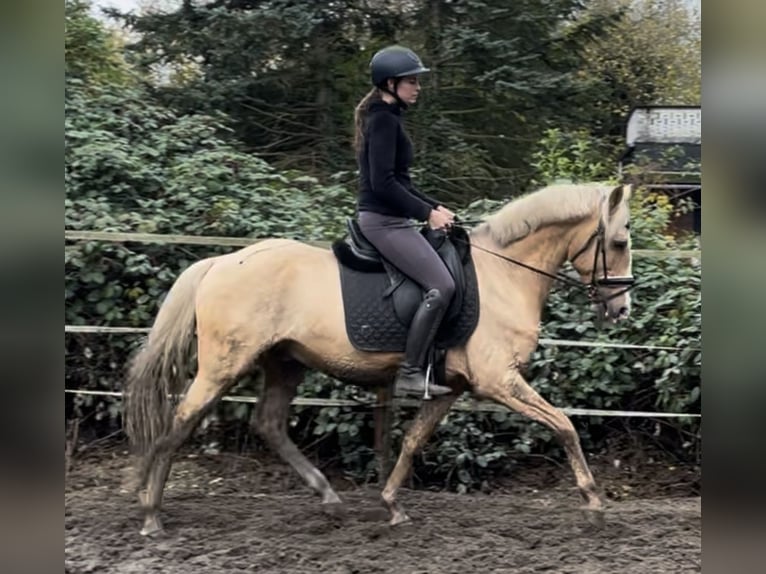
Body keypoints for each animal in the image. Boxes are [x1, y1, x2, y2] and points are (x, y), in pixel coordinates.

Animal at [121, 182, 636, 536]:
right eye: (620, 242)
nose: (622, 309)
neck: (503, 276)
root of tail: (219, 263)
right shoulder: (499, 382)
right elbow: (564, 425)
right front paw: (593, 502)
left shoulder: (452, 387)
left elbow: (412, 440)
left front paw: (392, 504)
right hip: (223, 366)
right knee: (181, 421)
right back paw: (150, 514)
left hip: (284, 362)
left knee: (268, 424)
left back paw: (328, 497)